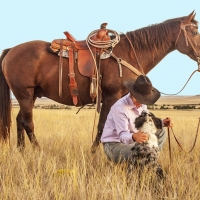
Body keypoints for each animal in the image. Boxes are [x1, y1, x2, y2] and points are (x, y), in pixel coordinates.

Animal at [0, 10, 200, 152]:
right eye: (195, 31)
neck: (128, 53)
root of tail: (11, 50)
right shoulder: (111, 97)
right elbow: (103, 125)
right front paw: (95, 152)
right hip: (25, 94)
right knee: (28, 122)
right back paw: (37, 150)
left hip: (30, 95)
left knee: (20, 120)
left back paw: (22, 151)